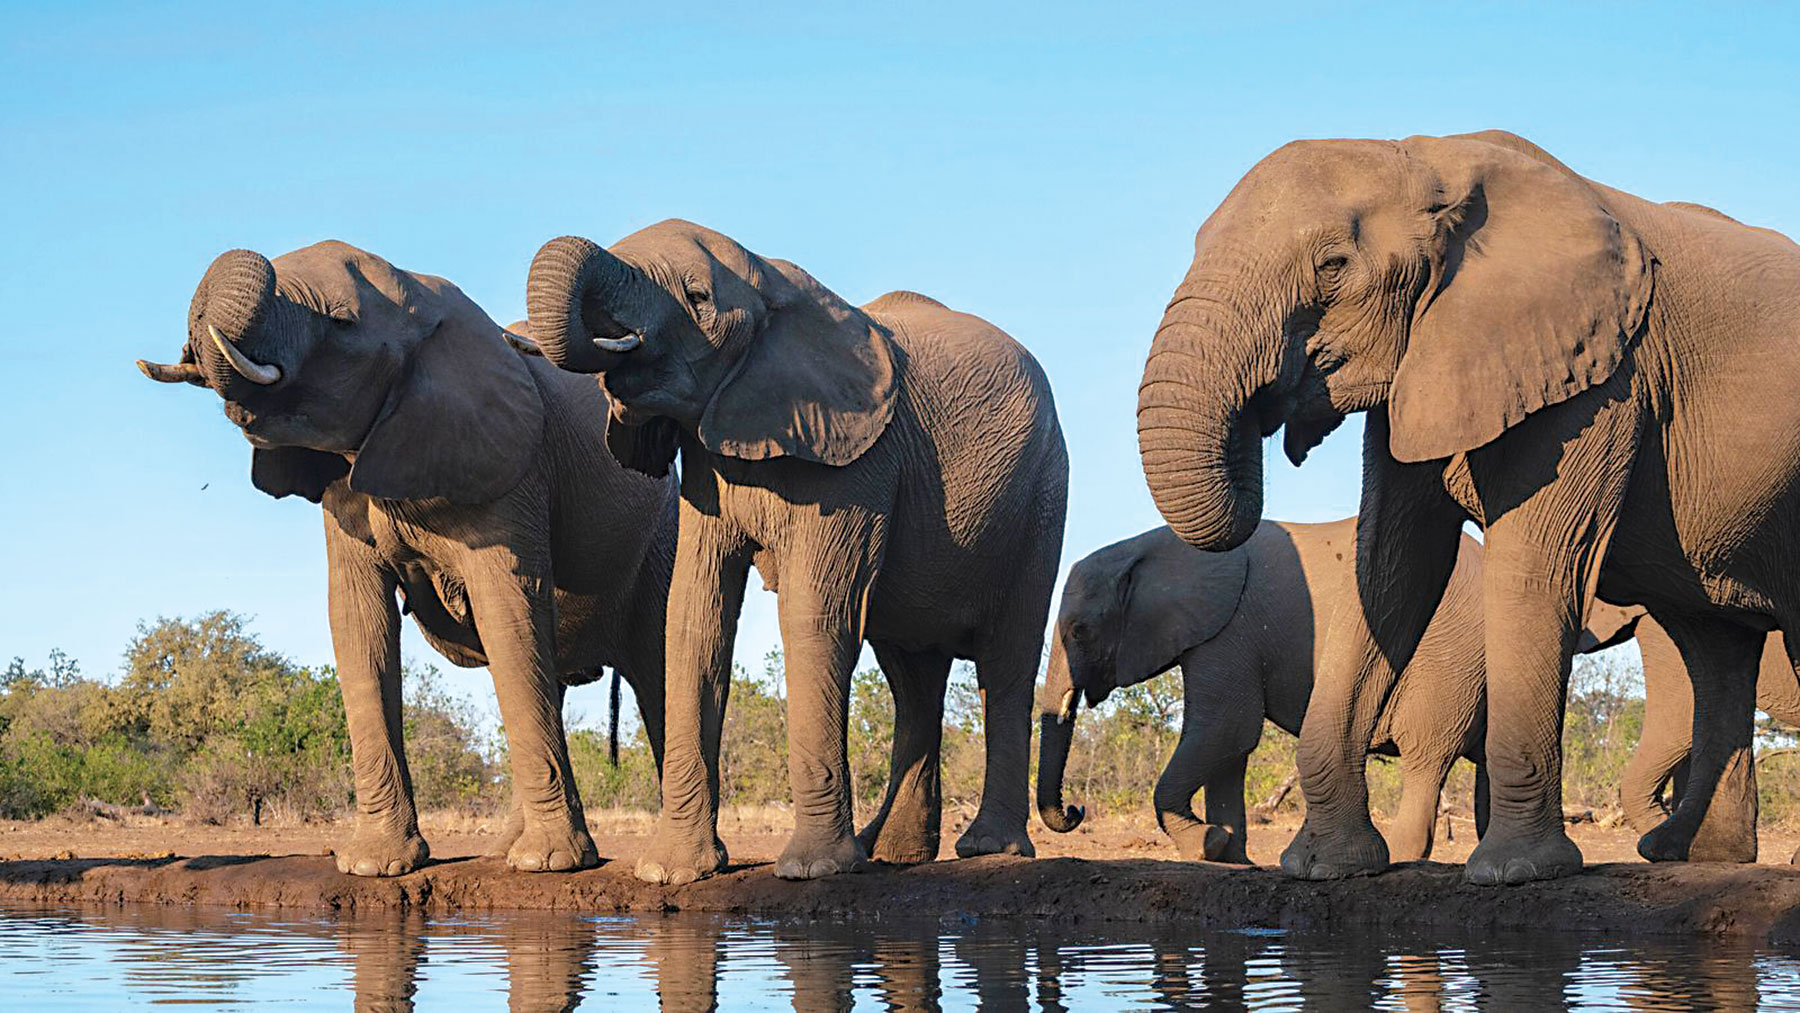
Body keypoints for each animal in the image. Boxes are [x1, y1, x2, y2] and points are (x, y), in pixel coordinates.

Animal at [137, 242, 677, 875]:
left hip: (663, 533)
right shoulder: (345, 487)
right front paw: (375, 866)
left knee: (656, 669)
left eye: (341, 321)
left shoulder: (511, 471)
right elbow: (358, 622)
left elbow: (508, 611)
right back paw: (501, 852)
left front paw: (550, 865)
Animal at [520, 219, 1067, 882]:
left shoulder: (856, 463)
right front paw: (671, 873)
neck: (771, 279)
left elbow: (815, 615)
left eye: (698, 298)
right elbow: (694, 617)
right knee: (913, 678)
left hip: (1042, 497)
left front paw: (813, 871)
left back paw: (987, 850)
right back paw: (891, 852)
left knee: (1005, 662)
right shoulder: (706, 468)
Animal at [1036, 517, 1638, 864]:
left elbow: (1227, 728)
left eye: (1080, 631)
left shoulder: (1228, 628)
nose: (1076, 808)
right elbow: (1231, 747)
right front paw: (1230, 855)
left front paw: (1205, 846)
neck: (1152, 544)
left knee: (1427, 754)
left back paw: (1401, 857)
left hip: (1452, 659)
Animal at [1135, 128, 1800, 883]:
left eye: (1334, 265)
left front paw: (1516, 871)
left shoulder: (1601, 376)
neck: (1429, 158)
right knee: (1712, 645)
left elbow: (1537, 566)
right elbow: (1390, 568)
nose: (1272, 414)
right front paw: (1324, 866)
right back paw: (1695, 854)